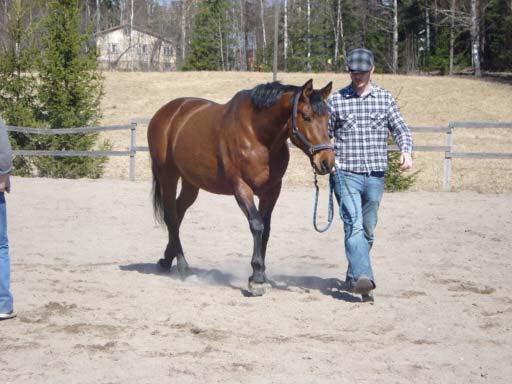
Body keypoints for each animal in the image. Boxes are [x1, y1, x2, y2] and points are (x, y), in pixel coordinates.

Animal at [146, 79, 334, 296]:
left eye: (328, 117)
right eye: (306, 117)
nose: (326, 162)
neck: (257, 135)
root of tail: (166, 113)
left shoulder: (272, 191)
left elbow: (266, 229)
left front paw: (262, 275)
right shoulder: (241, 187)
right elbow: (257, 225)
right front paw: (257, 279)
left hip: (190, 183)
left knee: (177, 214)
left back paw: (167, 260)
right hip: (168, 176)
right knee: (171, 217)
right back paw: (184, 269)